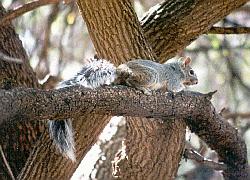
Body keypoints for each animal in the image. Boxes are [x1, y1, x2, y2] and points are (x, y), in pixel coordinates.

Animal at [47, 56, 198, 160]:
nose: (197, 82)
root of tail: (119, 71)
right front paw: (186, 89)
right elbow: (176, 88)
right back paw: (143, 89)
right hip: (150, 75)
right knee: (131, 81)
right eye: (191, 72)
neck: (178, 69)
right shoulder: (173, 80)